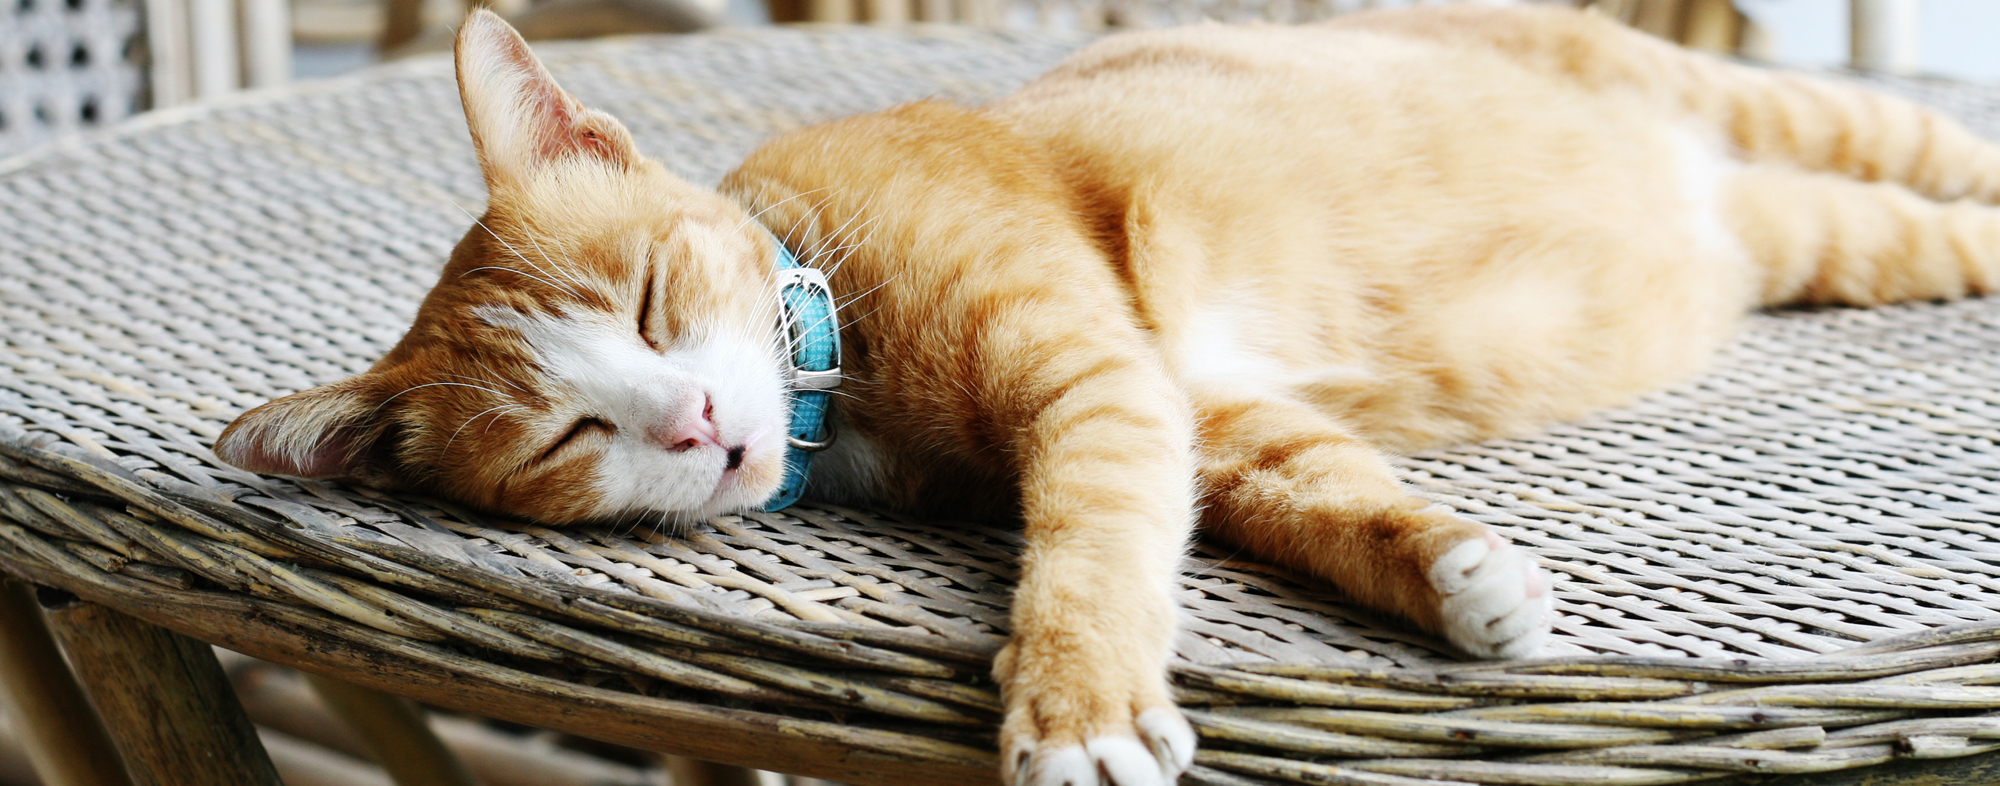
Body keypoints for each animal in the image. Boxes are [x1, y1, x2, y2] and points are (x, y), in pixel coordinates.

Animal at [215, 7, 2000, 784]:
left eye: (654, 298)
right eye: (569, 436)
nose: (703, 430)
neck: (833, 344)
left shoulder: (1093, 379)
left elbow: (1091, 553)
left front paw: (1075, 710)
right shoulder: (1200, 405)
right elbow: (1319, 494)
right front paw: (1456, 573)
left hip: (1778, 114)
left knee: (1942, 155)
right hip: (1821, 235)